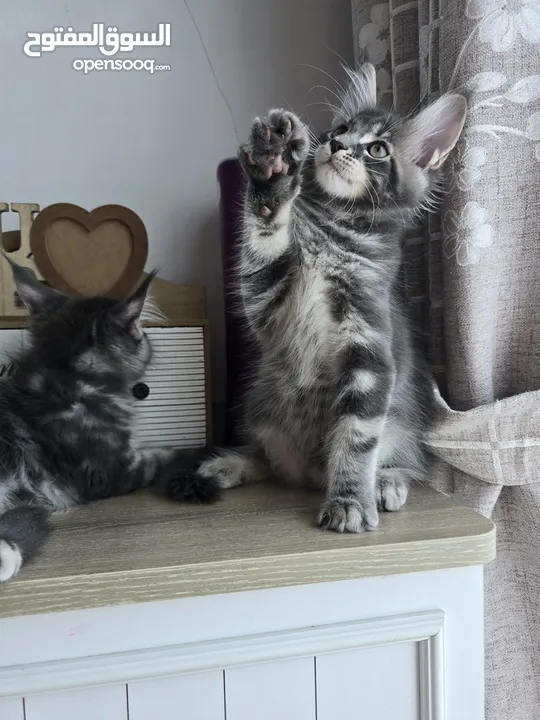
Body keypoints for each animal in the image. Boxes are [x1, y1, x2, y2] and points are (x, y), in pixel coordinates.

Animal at [189, 64, 464, 532]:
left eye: (376, 148)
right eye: (340, 129)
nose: (336, 145)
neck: (333, 235)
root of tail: (307, 474)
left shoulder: (371, 351)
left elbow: (355, 438)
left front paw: (349, 500)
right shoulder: (267, 300)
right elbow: (264, 236)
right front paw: (273, 170)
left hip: (402, 425)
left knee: (407, 461)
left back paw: (385, 484)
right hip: (262, 413)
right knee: (268, 462)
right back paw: (228, 464)